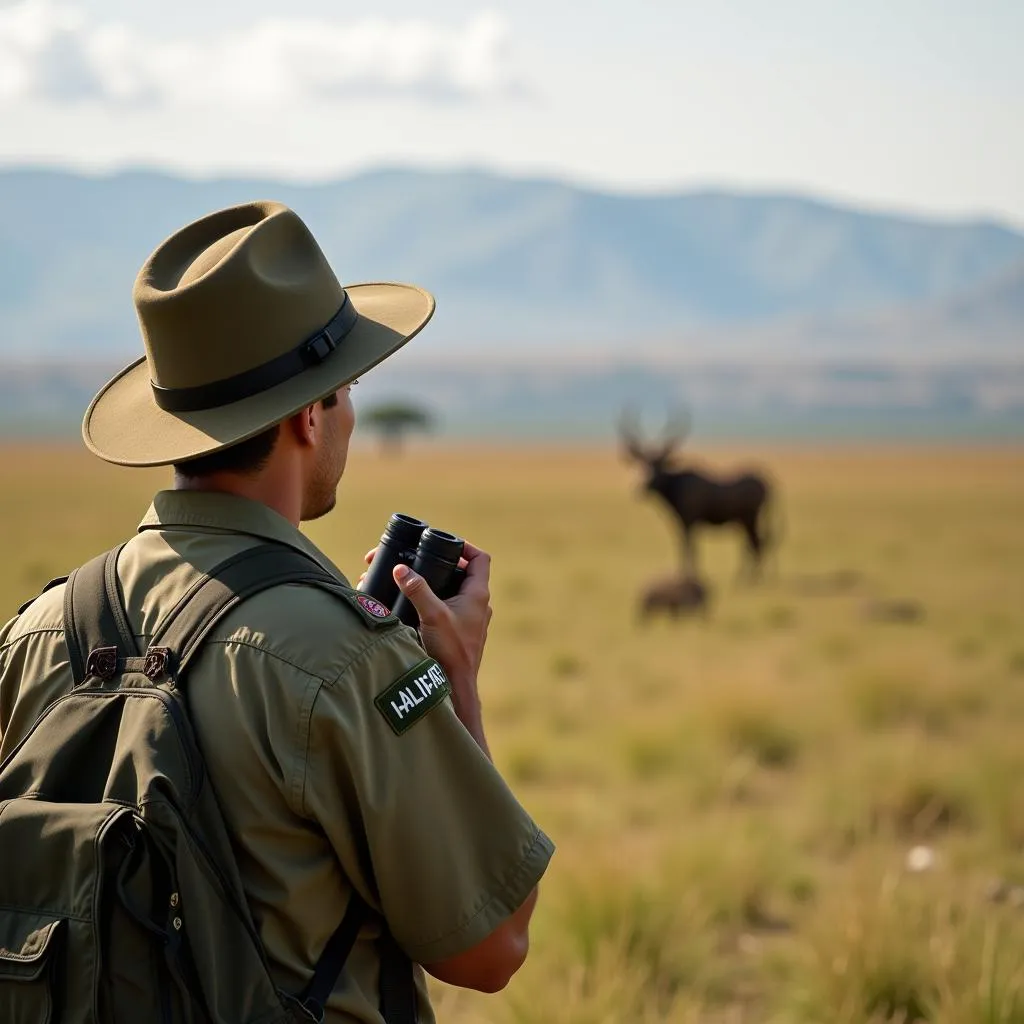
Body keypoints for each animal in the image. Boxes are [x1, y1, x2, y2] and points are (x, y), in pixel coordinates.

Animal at [618, 409, 778, 585]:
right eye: (642, 463)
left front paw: (688, 577)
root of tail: (767, 484)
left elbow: (690, 548)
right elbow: (684, 547)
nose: (644, 486)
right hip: (745, 520)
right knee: (757, 542)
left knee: (758, 543)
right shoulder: (681, 523)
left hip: (749, 518)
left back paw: (750, 579)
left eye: (660, 464)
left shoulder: (690, 520)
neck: (676, 486)